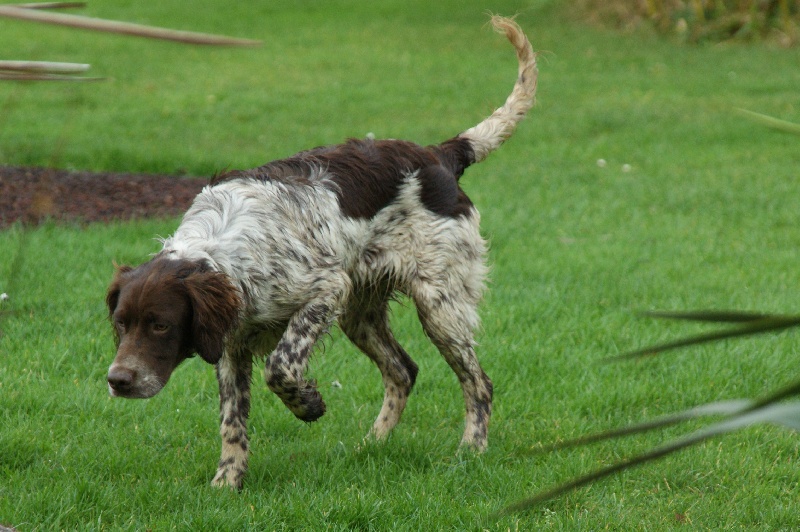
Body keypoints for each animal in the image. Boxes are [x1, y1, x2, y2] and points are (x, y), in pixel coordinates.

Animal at [106, 15, 537, 489]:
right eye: (121, 323)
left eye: (160, 325)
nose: (117, 380)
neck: (225, 246)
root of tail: (438, 154)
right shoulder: (232, 342)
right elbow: (232, 422)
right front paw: (227, 482)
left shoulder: (324, 290)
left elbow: (281, 366)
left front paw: (308, 405)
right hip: (361, 313)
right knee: (403, 371)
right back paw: (372, 445)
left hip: (439, 305)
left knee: (478, 383)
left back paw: (470, 449)